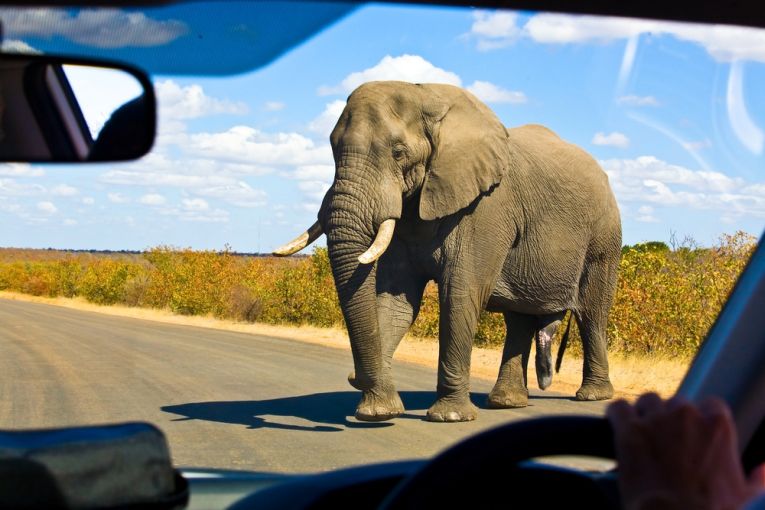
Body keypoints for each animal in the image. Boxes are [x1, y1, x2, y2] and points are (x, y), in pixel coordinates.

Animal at [274, 81, 621, 422]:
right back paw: (506, 403)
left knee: (592, 312)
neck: (429, 96)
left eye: (398, 153)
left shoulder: (485, 207)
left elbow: (460, 292)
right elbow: (395, 299)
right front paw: (378, 412)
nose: (353, 377)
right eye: (333, 150)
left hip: (604, 236)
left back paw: (592, 395)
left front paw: (450, 416)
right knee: (519, 319)